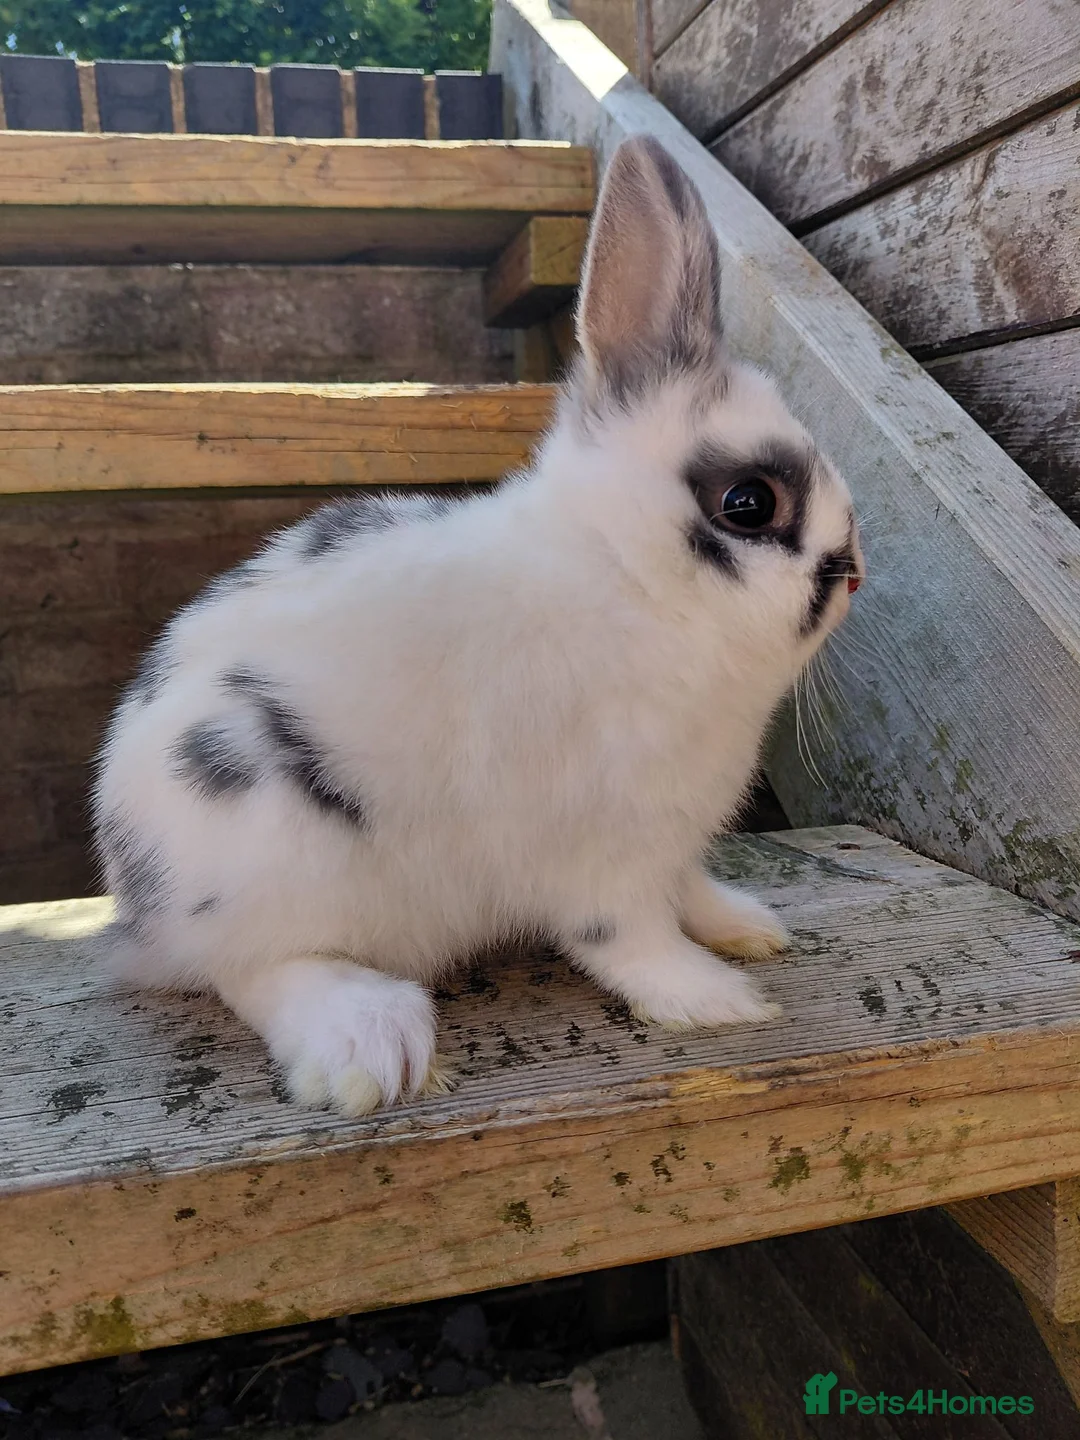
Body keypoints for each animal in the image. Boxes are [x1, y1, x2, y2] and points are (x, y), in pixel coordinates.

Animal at [93, 134, 863, 1117]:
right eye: (749, 503)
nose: (855, 570)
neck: (625, 580)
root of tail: (136, 908)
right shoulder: (600, 853)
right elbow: (628, 937)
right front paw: (716, 1001)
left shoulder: (671, 842)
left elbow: (688, 888)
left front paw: (748, 928)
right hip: (265, 838)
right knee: (250, 967)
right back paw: (369, 1043)